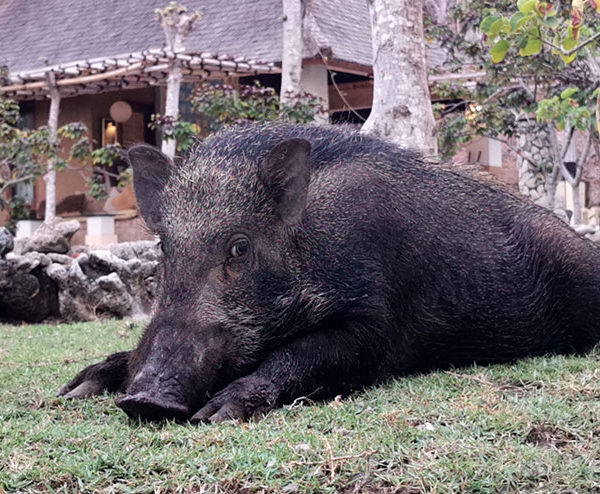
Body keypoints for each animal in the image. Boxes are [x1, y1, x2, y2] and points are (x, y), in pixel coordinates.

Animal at [57, 123, 600, 423]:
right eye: (163, 247)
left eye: (239, 247)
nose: (144, 400)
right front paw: (74, 389)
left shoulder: (375, 328)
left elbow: (300, 356)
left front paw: (218, 413)